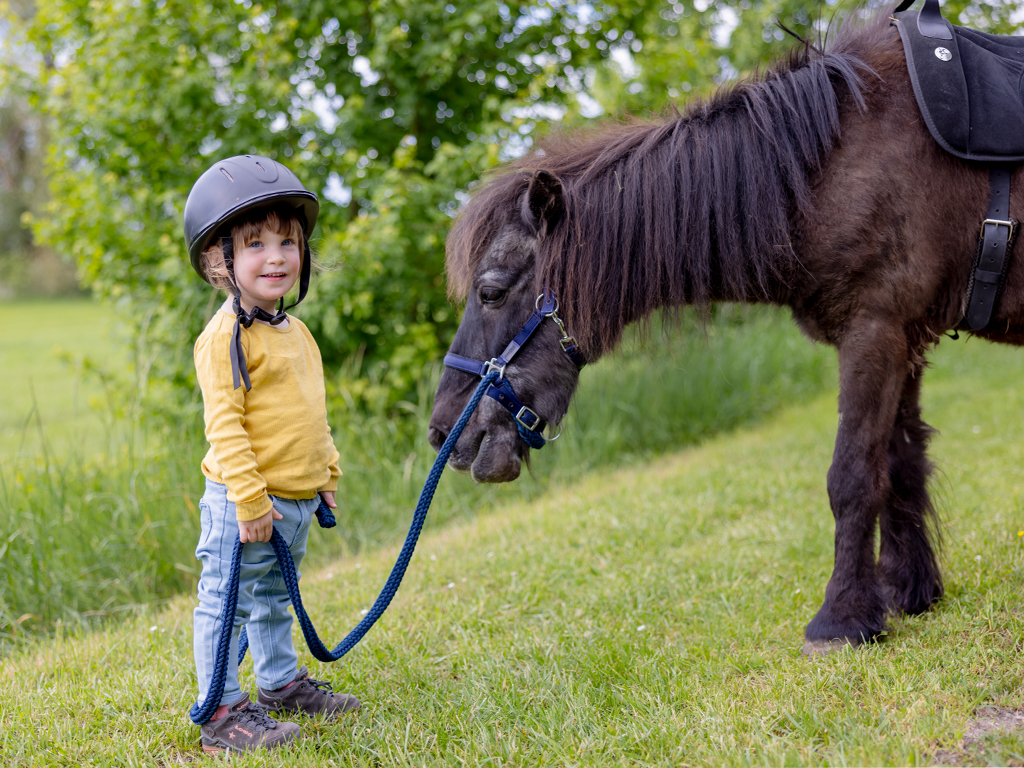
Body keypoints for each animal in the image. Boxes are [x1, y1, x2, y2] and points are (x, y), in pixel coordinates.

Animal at [428, 5, 1022, 654]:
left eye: (490, 291)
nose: (443, 432)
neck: (831, 166)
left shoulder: (875, 331)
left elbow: (853, 477)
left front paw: (841, 619)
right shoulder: (902, 340)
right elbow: (900, 463)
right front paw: (907, 592)